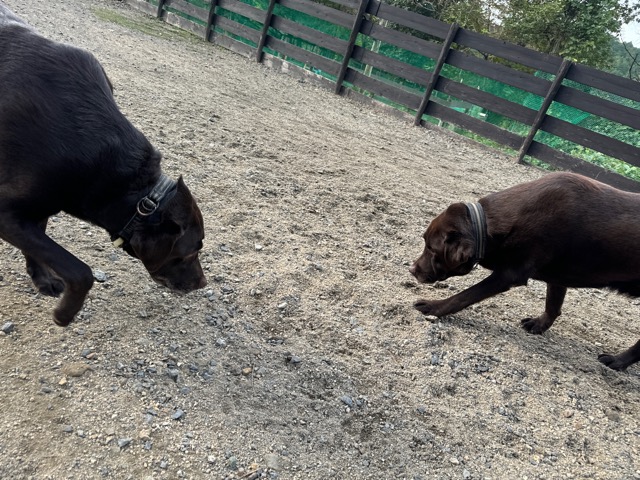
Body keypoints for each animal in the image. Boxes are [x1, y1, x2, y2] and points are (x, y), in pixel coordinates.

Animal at [0, 3, 206, 326]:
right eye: (190, 252)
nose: (202, 283)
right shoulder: (6, 212)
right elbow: (81, 271)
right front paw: (65, 313)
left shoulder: (37, 208)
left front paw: (42, 280)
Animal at [410, 172, 640, 370]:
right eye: (424, 242)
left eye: (431, 248)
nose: (412, 269)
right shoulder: (557, 277)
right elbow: (553, 306)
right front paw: (539, 325)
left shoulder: (508, 275)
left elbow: (463, 296)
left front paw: (433, 306)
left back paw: (618, 361)